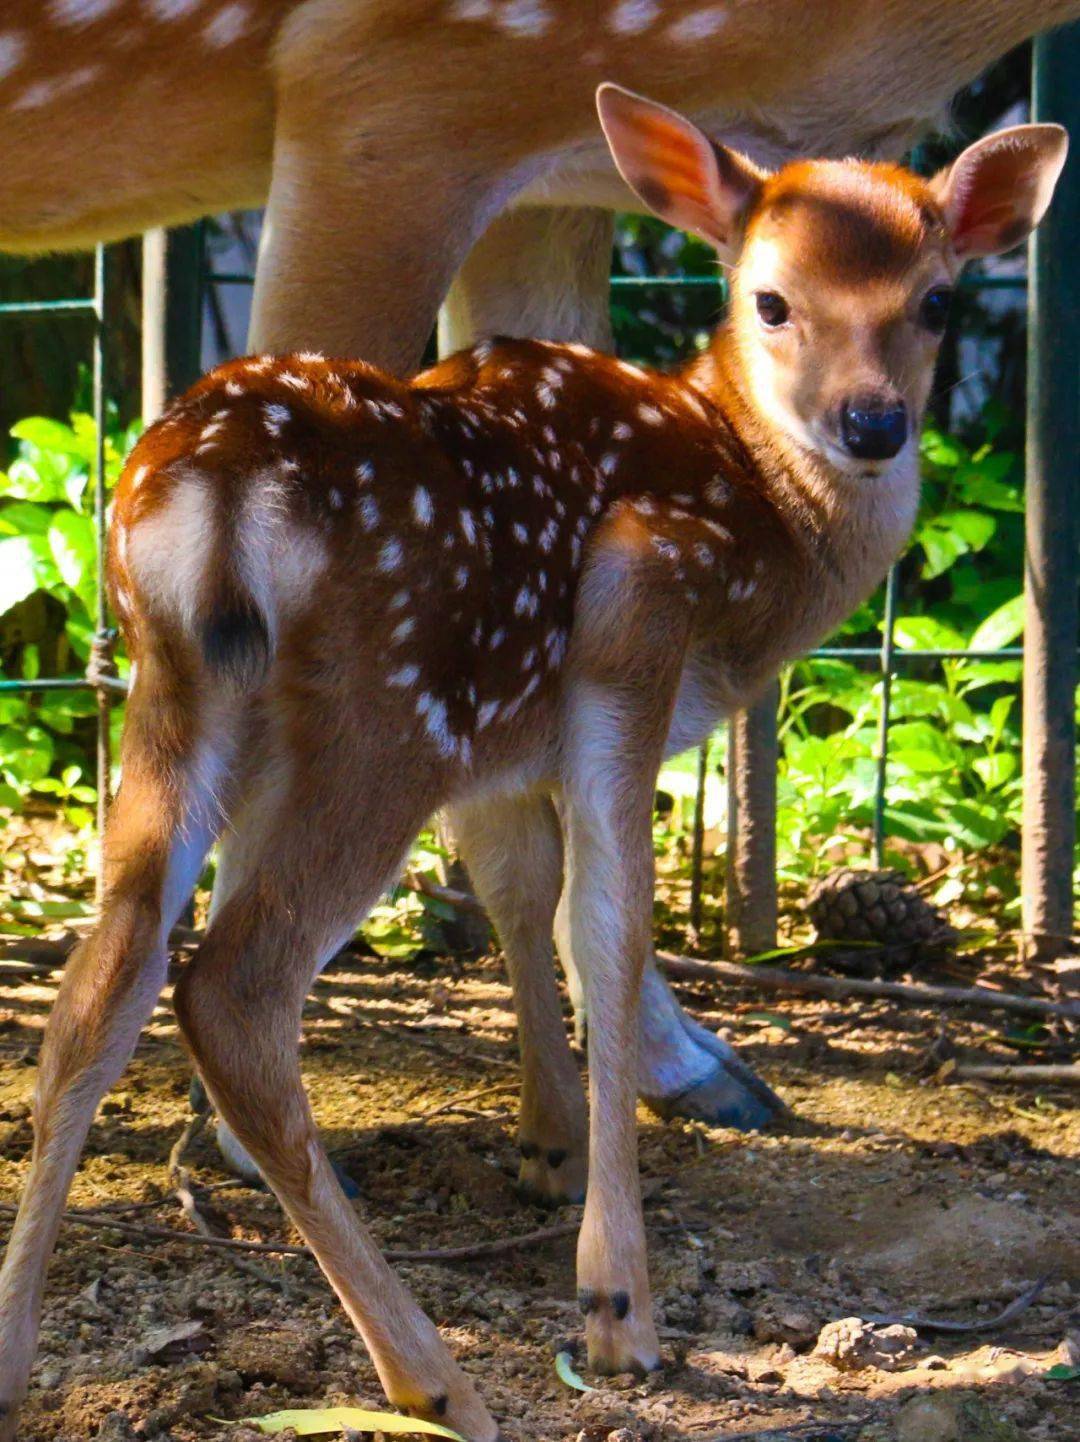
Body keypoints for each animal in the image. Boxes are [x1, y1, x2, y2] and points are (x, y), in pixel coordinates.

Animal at [0, 87, 1061, 1430]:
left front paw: (548, 1146)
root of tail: (218, 493)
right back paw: (435, 1375)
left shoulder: (506, 749)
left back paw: (11, 1360)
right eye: (770, 299)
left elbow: (520, 887)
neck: (756, 504)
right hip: (387, 718)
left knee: (100, 985)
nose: (873, 423)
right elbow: (604, 925)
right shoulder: (634, 613)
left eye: (935, 301)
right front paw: (617, 1303)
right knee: (233, 991)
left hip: (180, 703)